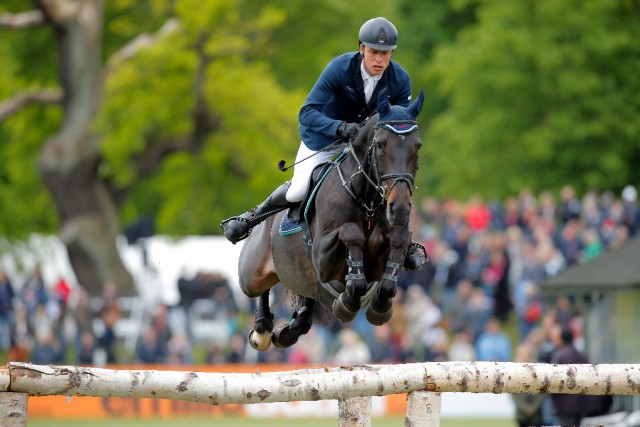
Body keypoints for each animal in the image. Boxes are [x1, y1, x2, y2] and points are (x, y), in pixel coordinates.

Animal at [238, 89, 422, 352]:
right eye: (380, 145)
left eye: (417, 146)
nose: (399, 209)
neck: (366, 200)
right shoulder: (322, 259)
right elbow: (350, 233)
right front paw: (349, 296)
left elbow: (399, 241)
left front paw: (379, 305)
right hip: (251, 274)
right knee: (259, 289)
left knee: (307, 303)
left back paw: (290, 330)